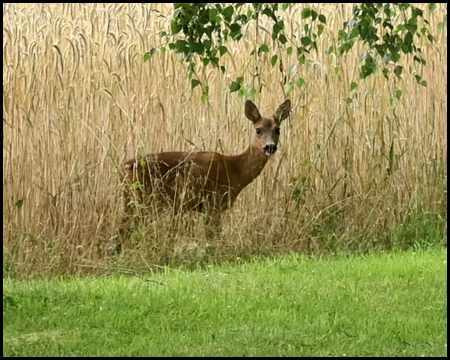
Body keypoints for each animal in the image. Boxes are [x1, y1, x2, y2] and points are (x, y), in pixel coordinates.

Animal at [117, 98, 292, 250]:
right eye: (258, 130)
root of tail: (123, 168)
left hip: (132, 200)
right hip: (142, 199)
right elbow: (214, 236)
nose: (270, 147)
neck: (235, 170)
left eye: (278, 130)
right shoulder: (213, 201)